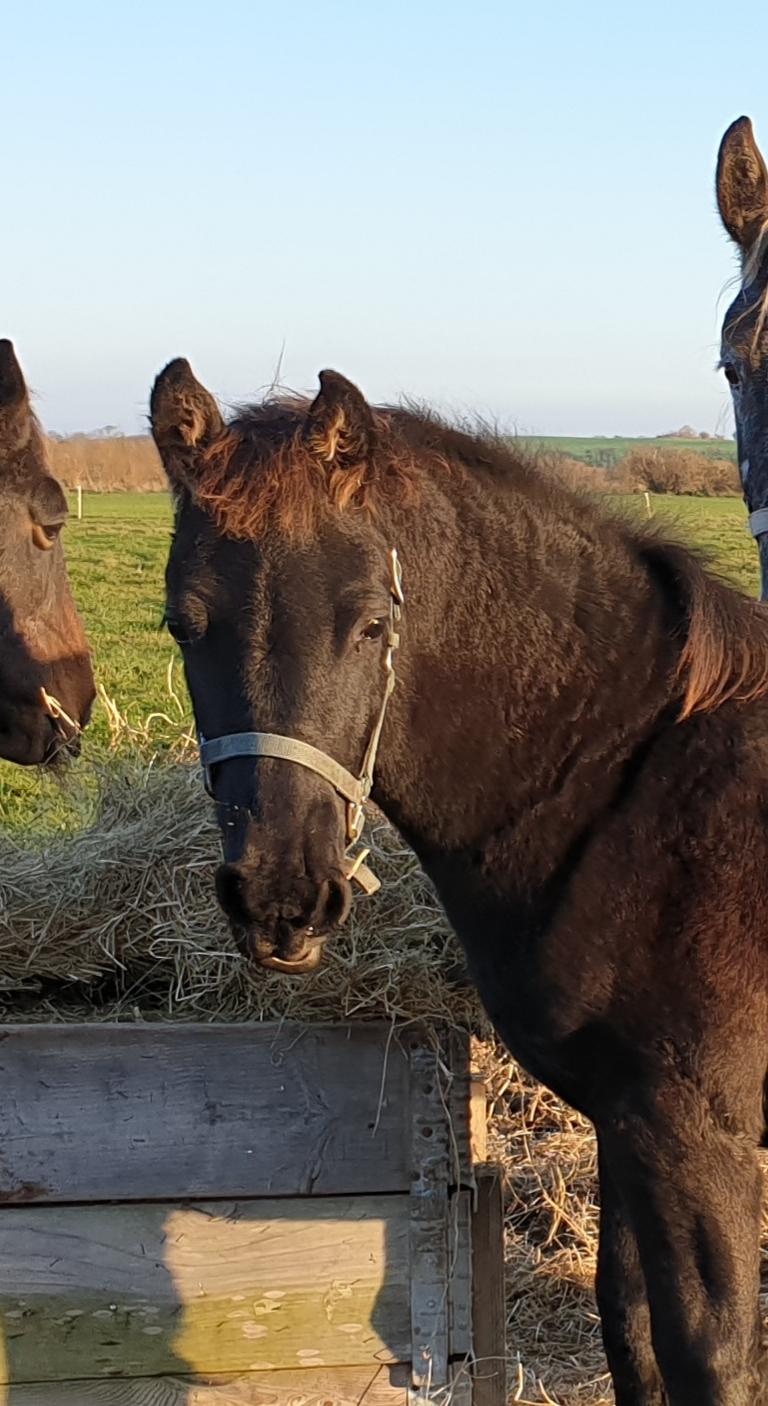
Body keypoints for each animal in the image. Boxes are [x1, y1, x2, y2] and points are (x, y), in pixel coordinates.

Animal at [151, 357, 768, 1400]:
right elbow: (632, 1330)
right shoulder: (628, 1124)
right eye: (184, 624)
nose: (281, 893)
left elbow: (708, 1359)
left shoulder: (699, 1137)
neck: (632, 782)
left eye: (370, 622)